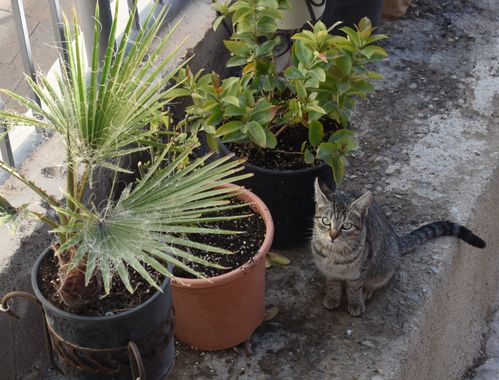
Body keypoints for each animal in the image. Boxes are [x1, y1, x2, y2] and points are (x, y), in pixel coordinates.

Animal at [310, 180, 486, 316]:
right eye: (326, 221)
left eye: (346, 226)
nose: (333, 236)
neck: (333, 254)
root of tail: (395, 238)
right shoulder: (329, 272)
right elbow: (333, 285)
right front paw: (333, 298)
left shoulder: (360, 271)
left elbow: (354, 288)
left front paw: (355, 303)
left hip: (383, 267)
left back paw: (368, 290)